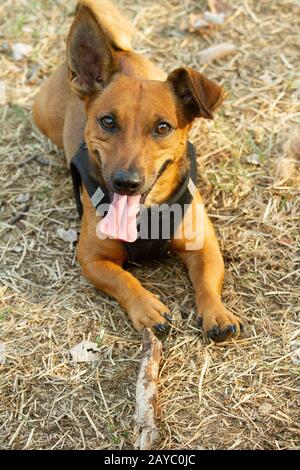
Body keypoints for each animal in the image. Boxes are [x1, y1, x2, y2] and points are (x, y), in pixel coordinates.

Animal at [33, 0, 244, 340]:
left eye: (163, 127)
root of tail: (119, 51)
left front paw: (217, 313)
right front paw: (147, 307)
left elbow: (207, 283)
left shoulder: (204, 247)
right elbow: (124, 280)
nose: (126, 183)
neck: (145, 215)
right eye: (107, 121)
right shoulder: (92, 259)